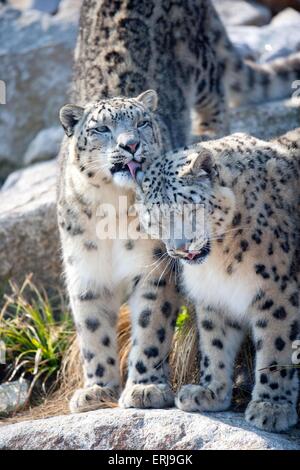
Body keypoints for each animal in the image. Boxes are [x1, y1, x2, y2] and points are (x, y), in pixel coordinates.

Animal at [134, 127, 300, 430]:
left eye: (190, 208)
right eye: (155, 219)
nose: (180, 248)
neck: (222, 262)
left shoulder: (276, 291)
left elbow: (275, 346)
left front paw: (271, 407)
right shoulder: (215, 296)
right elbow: (215, 344)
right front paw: (210, 392)